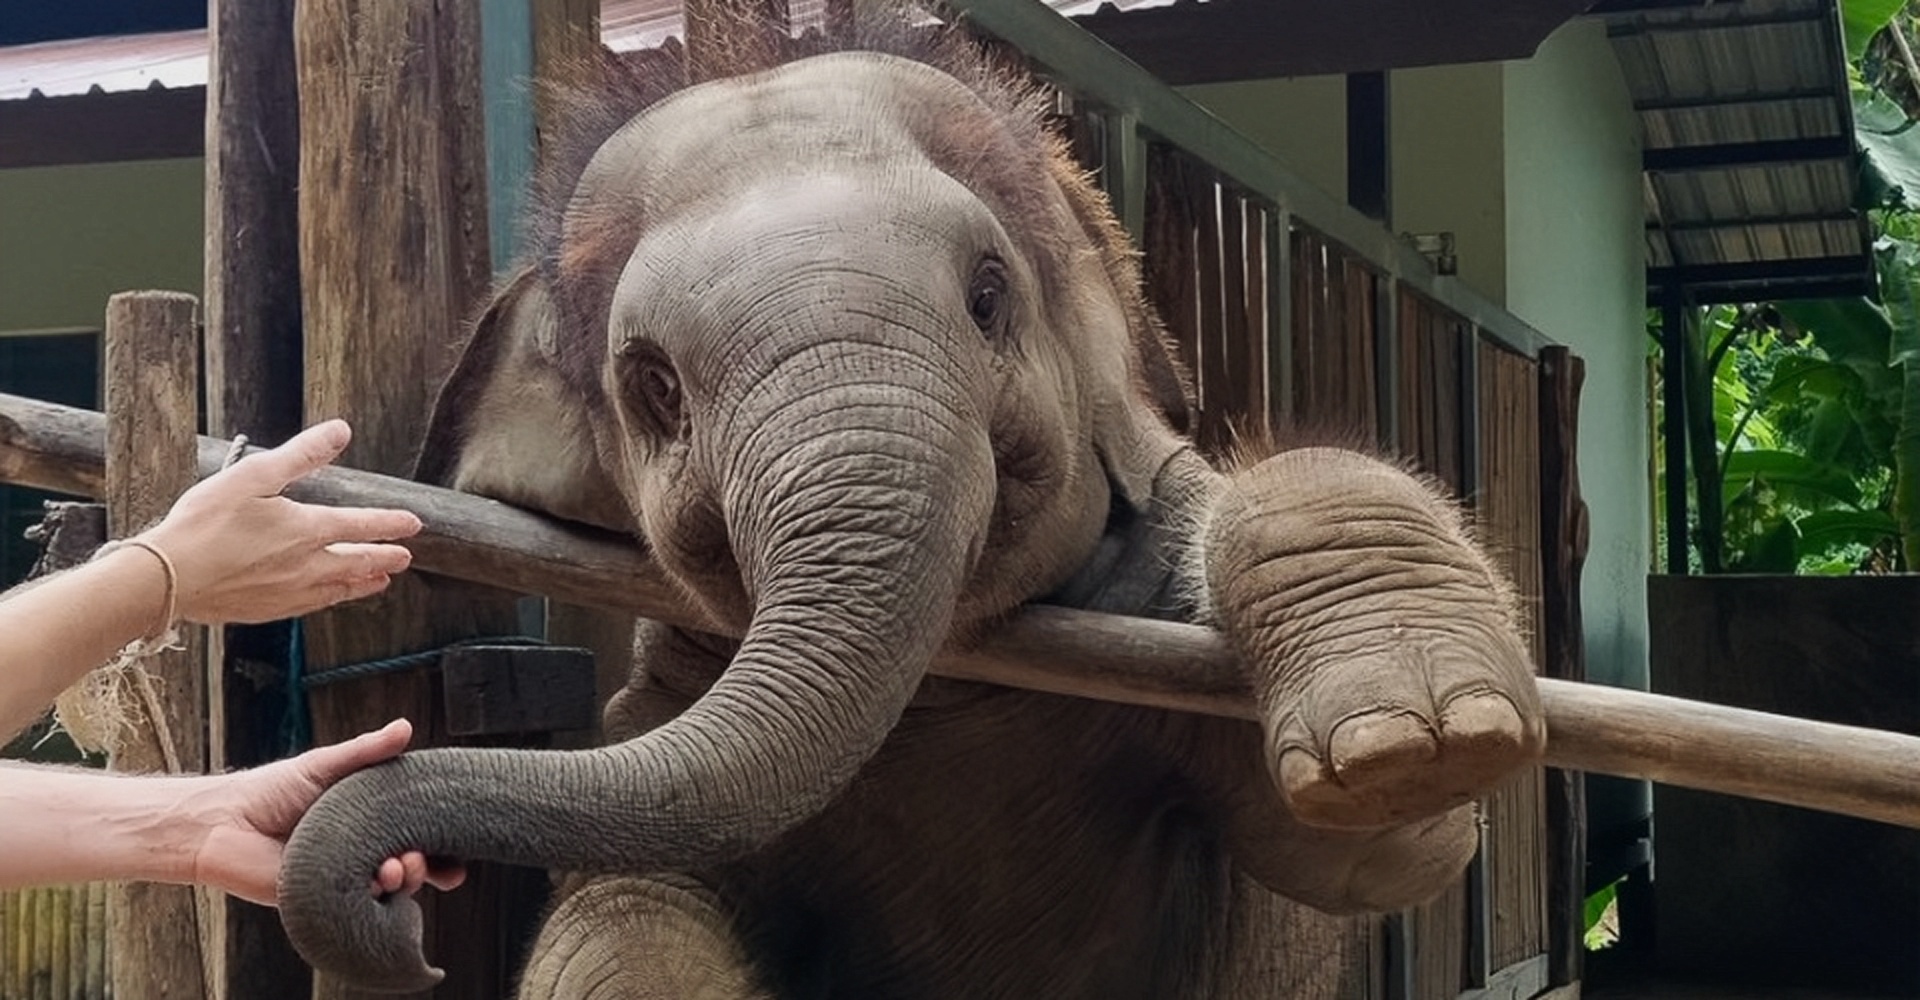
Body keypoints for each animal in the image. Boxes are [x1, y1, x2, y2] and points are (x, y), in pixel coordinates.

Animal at [277, 20, 1544, 1000]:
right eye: (652, 386)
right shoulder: (666, 708)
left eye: (987, 297)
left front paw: (1415, 745)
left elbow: (1380, 845)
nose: (403, 916)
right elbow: (624, 903)